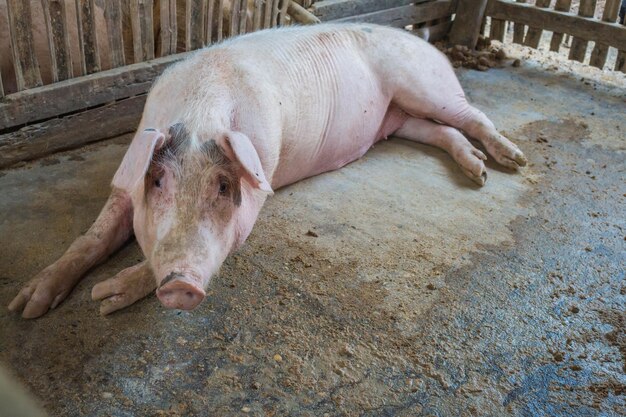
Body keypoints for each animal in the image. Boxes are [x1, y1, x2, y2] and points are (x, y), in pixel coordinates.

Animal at [9, 22, 528, 316]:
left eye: (223, 186)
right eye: (156, 180)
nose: (181, 286)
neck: (199, 111)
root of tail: (421, 40)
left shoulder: (259, 180)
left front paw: (105, 298)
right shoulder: (126, 186)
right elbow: (91, 237)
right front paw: (25, 308)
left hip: (425, 85)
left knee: (472, 117)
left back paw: (510, 162)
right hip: (398, 117)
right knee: (443, 133)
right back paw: (480, 172)